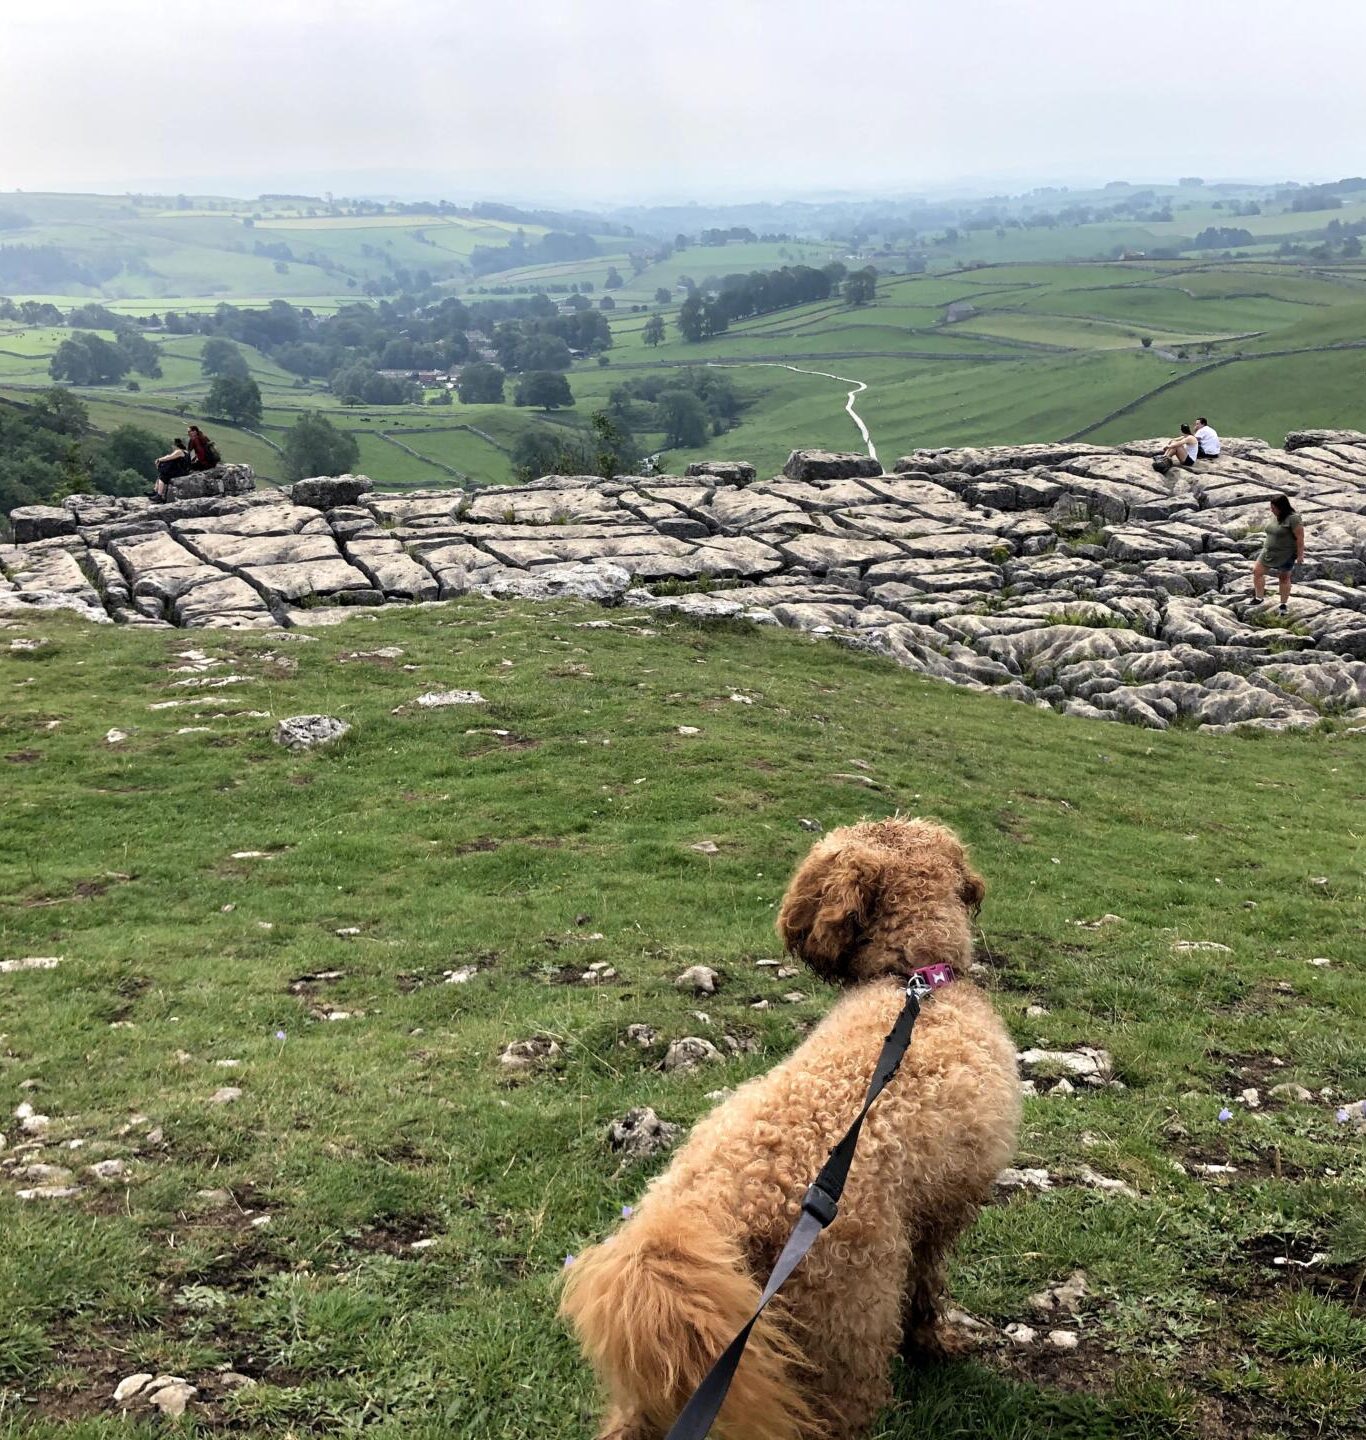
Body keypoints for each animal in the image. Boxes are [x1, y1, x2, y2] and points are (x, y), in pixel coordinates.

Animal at [558, 823, 1019, 1440]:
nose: (789, 930)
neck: (914, 981)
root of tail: (715, 1209)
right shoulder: (941, 1211)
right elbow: (926, 1288)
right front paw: (934, 1344)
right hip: (846, 1318)